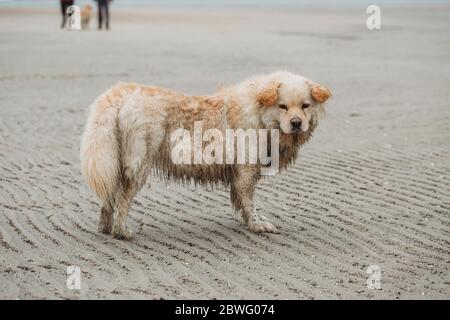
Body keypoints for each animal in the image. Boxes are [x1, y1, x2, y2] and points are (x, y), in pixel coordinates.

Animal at [80, 71, 330, 239]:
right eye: (283, 106)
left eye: (305, 105)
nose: (296, 123)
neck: (260, 114)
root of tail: (121, 91)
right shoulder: (246, 170)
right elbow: (250, 202)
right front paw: (257, 225)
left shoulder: (239, 173)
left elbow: (241, 202)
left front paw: (247, 221)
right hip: (139, 164)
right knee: (123, 200)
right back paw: (121, 232)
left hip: (114, 160)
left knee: (108, 198)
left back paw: (105, 228)